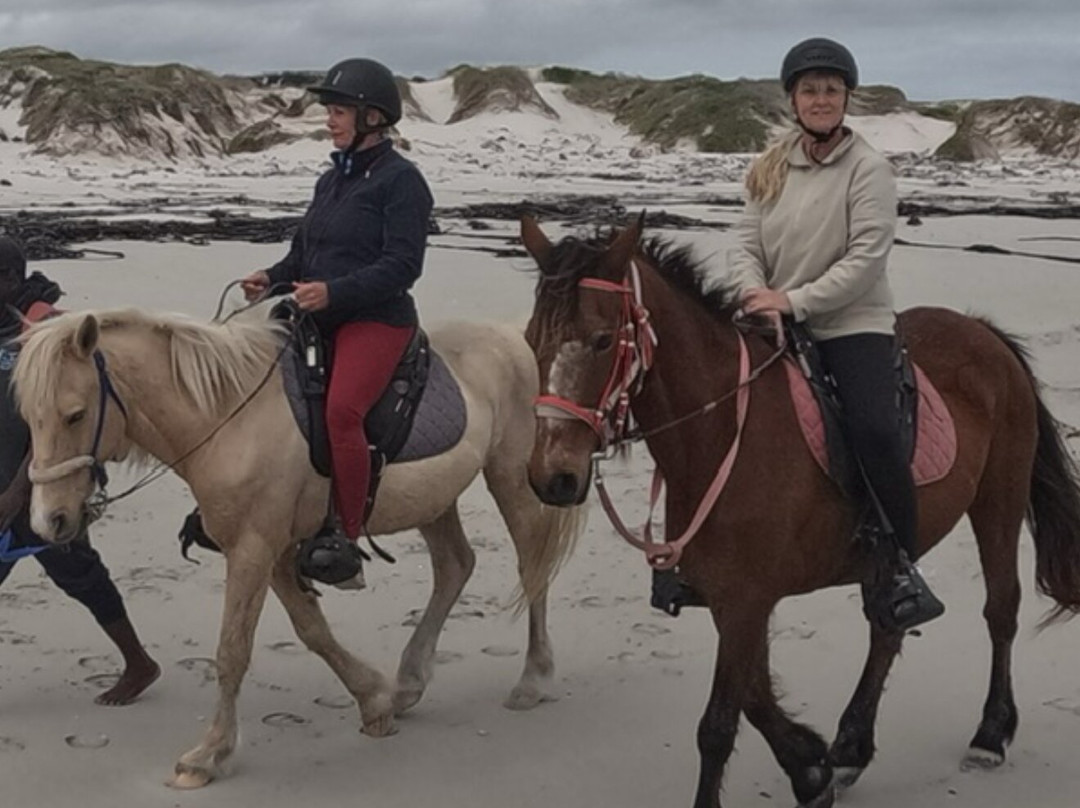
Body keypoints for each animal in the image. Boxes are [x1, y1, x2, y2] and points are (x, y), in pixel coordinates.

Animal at [13, 305, 582, 788]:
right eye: (28, 417)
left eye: (74, 414)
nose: (48, 520)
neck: (229, 418)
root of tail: (514, 337)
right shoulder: (275, 551)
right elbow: (313, 630)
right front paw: (375, 700)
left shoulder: (253, 549)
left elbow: (232, 651)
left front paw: (208, 754)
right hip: (436, 499)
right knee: (455, 567)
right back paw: (409, 682)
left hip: (512, 477)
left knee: (532, 567)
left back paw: (532, 678)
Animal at [518, 215, 1080, 808]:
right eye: (532, 339)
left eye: (604, 340)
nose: (554, 477)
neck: (723, 432)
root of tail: (981, 329)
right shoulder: (732, 596)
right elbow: (756, 695)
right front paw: (811, 768)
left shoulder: (747, 599)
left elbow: (719, 724)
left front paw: (801, 771)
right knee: (887, 630)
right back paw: (852, 747)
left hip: (999, 499)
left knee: (1001, 609)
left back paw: (990, 734)